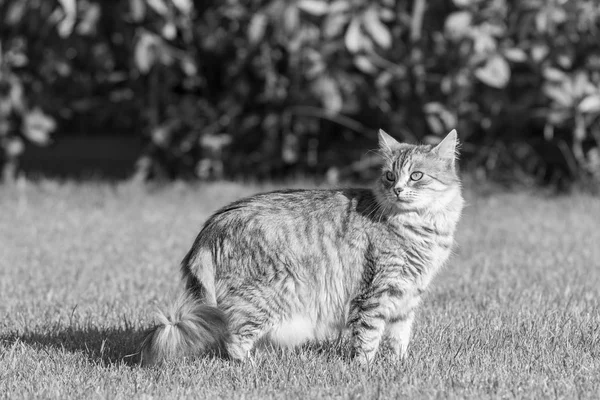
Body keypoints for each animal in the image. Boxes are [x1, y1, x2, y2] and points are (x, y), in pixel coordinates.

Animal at [141, 130, 464, 368]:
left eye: (416, 176)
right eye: (389, 176)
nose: (396, 189)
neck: (422, 228)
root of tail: (211, 227)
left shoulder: (407, 296)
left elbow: (400, 338)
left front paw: (399, 365)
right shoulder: (375, 291)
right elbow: (368, 337)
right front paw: (365, 368)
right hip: (264, 297)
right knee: (232, 339)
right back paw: (252, 366)